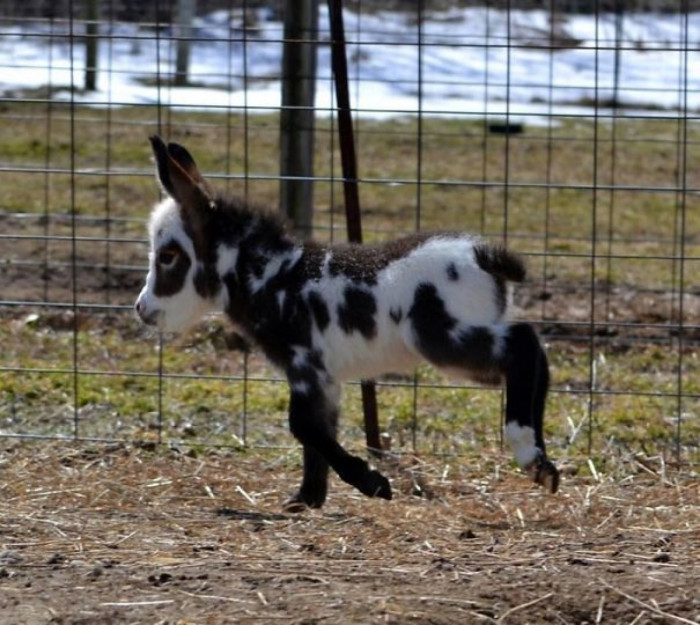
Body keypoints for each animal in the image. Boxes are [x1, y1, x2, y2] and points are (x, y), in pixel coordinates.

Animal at [137, 136, 560, 508]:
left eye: (169, 255)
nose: (142, 309)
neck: (273, 277)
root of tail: (482, 254)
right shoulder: (322, 378)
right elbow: (317, 431)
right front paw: (305, 500)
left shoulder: (305, 365)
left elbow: (302, 426)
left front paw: (372, 484)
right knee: (532, 354)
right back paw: (541, 465)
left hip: (442, 338)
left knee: (522, 345)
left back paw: (526, 451)